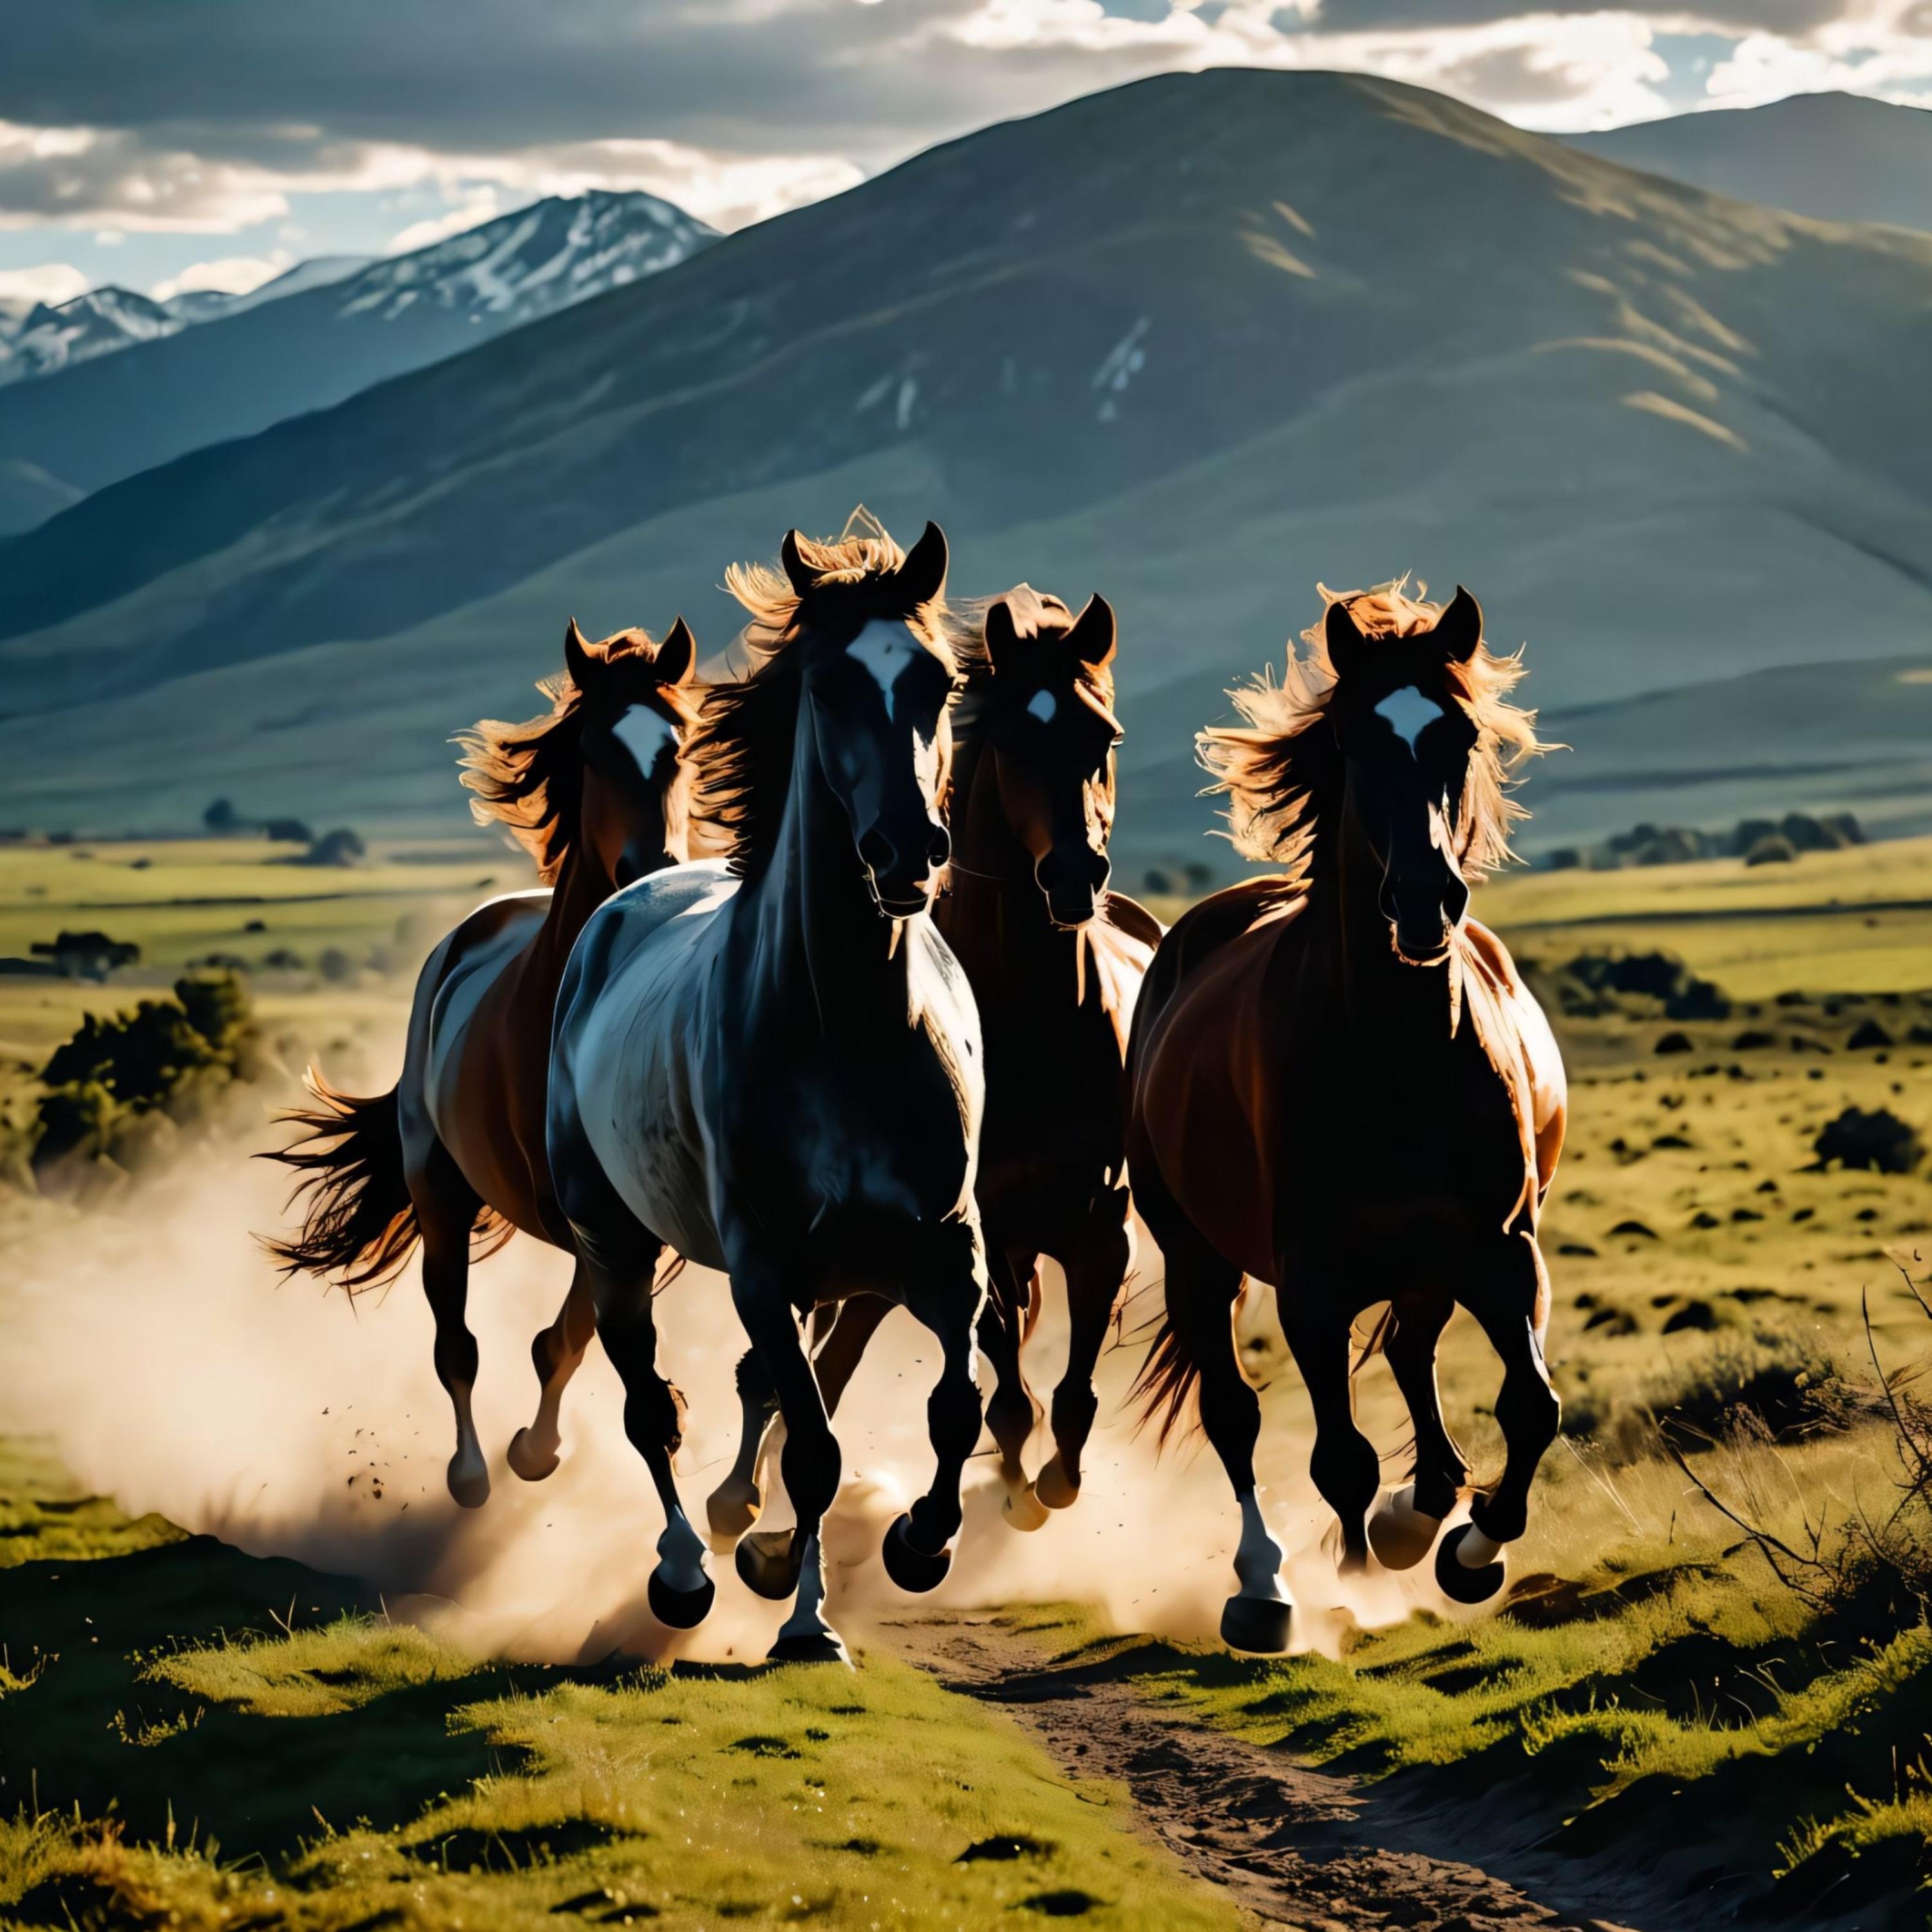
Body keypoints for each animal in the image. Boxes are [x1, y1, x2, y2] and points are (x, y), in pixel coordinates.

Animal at [264, 617, 699, 1512]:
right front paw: (531, 1453)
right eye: (592, 752)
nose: (651, 871)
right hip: (439, 1193)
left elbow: (568, 1338)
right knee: (454, 1342)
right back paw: (469, 1475)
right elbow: (558, 1338)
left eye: (679, 743)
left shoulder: (629, 1223)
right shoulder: (583, 1218)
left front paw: (545, 1446)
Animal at [545, 519, 990, 1661]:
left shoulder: (943, 1254)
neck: (851, 1034)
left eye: (939, 679)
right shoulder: (764, 1267)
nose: (909, 848)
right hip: (616, 1243)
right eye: (829, 686)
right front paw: (805, 1626)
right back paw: (683, 1571)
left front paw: (918, 1544)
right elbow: (816, 1448)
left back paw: (747, 1533)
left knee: (762, 1396)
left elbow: (952, 1409)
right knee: (650, 1404)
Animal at [705, 585, 1159, 1545]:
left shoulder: (1098, 1227)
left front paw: (1046, 1485)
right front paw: (1015, 1485)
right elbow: (1008, 1389)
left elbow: (1071, 1395)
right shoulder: (983, 1230)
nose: (1075, 875)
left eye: (1102, 737)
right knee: (813, 1359)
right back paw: (746, 1497)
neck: (1037, 1028)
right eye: (1017, 743)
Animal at [1128, 581, 1565, 1655]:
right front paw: (1354, 1580)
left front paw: (1467, 1548)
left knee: (1411, 1355)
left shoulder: (1502, 1252)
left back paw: (1423, 1515)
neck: (1397, 1058)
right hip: (1198, 1259)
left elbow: (1532, 1409)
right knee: (1233, 1414)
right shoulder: (1312, 1285)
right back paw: (1266, 1585)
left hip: (1426, 1266)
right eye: (1358, 739)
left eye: (1458, 734)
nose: (1423, 898)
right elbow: (1339, 1458)